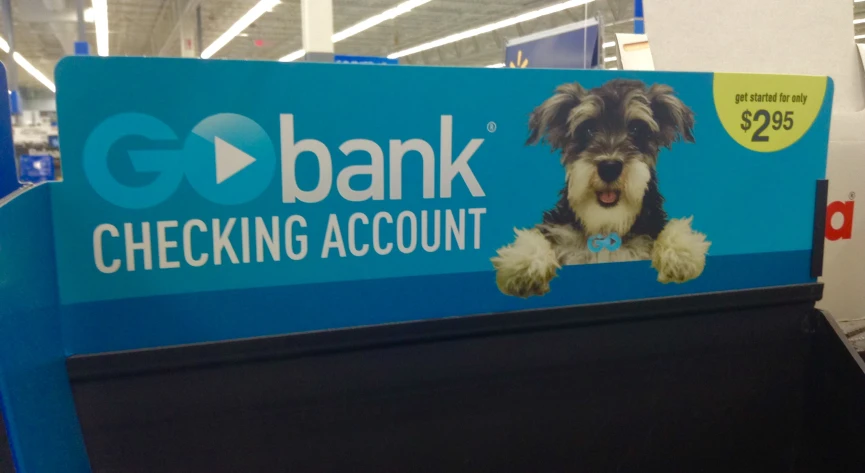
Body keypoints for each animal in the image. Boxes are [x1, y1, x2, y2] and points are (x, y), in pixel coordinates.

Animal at [492, 79, 708, 296]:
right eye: (587, 130)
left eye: (636, 129)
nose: (609, 167)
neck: (606, 227)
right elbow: (538, 237)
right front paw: (524, 264)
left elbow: (669, 230)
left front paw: (681, 254)